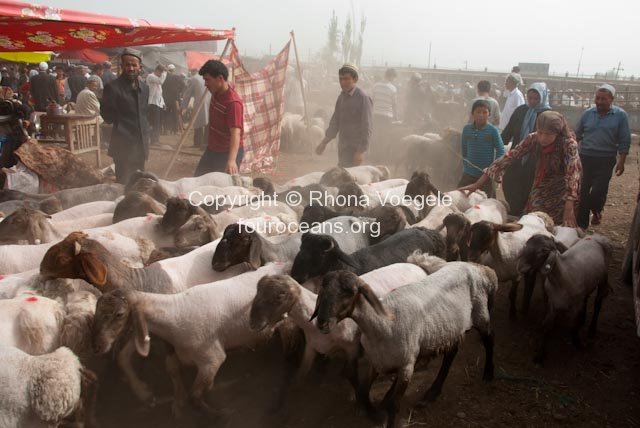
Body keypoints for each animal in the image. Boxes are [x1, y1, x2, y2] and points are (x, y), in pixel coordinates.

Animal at [92, 262, 292, 416]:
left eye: (119, 314)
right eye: (96, 312)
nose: (97, 347)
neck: (176, 313)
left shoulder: (211, 360)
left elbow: (194, 397)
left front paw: (218, 414)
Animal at [516, 234, 608, 364]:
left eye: (542, 251)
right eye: (526, 245)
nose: (520, 266)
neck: (561, 278)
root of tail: (595, 238)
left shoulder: (576, 306)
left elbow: (573, 327)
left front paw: (577, 343)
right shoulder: (552, 304)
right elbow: (547, 327)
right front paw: (540, 356)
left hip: (603, 279)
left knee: (597, 304)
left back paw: (591, 330)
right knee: (586, 299)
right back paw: (583, 320)